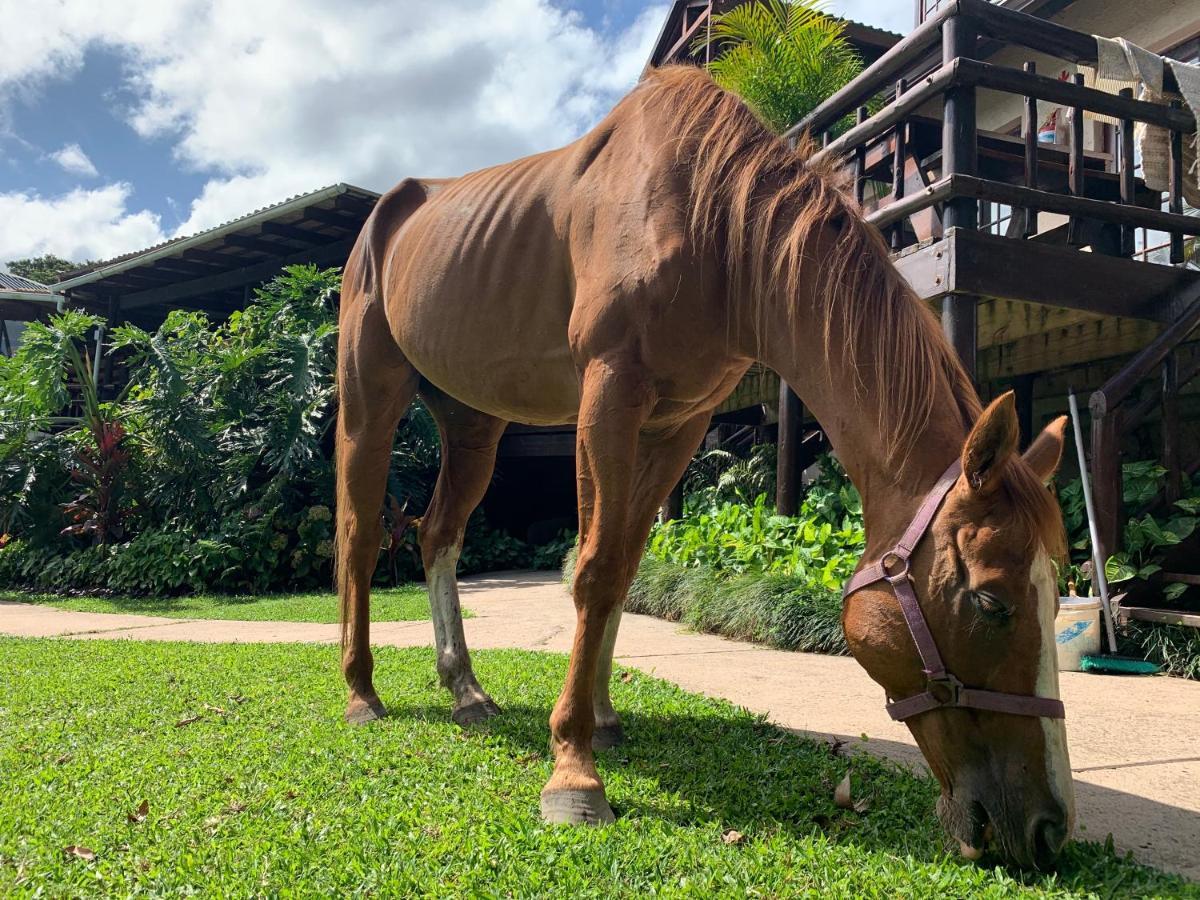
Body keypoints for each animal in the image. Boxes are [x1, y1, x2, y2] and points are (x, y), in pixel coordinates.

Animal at [340, 66, 1080, 868]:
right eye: (992, 603)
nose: (1049, 828)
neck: (713, 226)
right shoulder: (608, 392)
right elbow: (594, 568)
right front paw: (574, 772)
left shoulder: (677, 424)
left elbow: (624, 568)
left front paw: (600, 718)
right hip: (368, 398)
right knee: (358, 537)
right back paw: (361, 694)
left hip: (474, 422)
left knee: (438, 535)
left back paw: (466, 691)